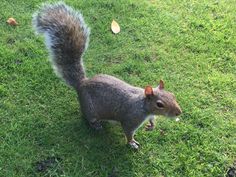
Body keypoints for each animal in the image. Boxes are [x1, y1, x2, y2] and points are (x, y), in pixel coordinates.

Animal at [32, 2, 182, 149]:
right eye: (159, 104)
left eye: (173, 95)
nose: (179, 112)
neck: (143, 105)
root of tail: (81, 83)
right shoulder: (130, 119)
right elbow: (128, 132)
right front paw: (132, 143)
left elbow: (151, 120)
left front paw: (151, 126)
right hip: (89, 109)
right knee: (89, 119)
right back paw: (96, 126)